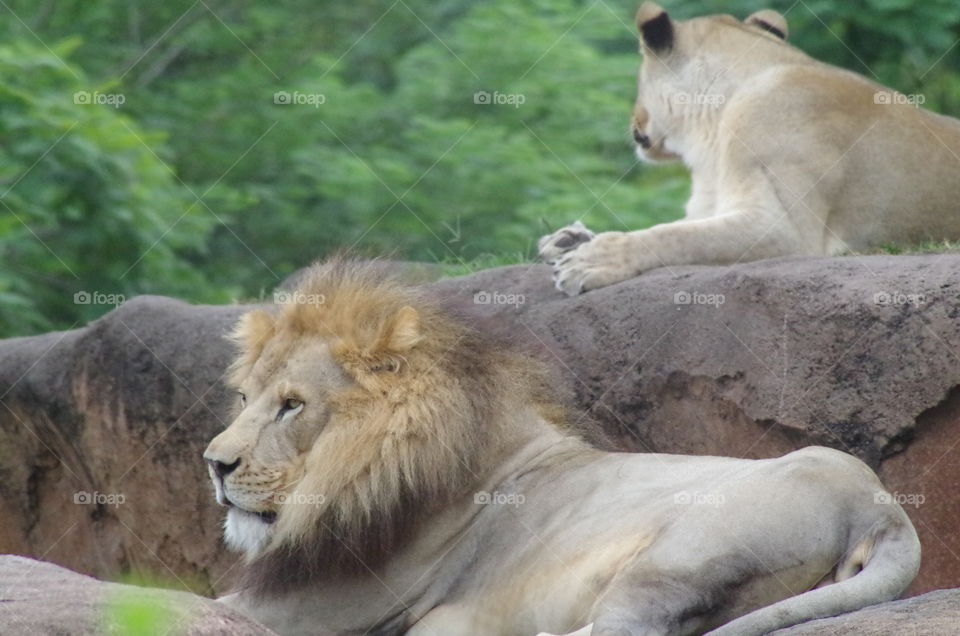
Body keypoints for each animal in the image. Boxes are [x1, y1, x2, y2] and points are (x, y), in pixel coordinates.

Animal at [204, 260, 924, 636]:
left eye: (293, 405)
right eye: (244, 397)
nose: (215, 465)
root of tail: (880, 509)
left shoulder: (325, 607)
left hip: (681, 551)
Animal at [540, 1, 960, 296]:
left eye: (638, 80)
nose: (636, 122)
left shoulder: (785, 229)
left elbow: (675, 236)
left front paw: (592, 261)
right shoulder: (712, 207)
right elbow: (676, 227)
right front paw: (566, 239)